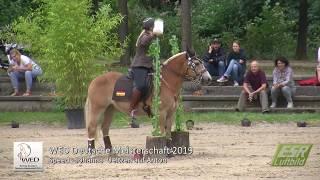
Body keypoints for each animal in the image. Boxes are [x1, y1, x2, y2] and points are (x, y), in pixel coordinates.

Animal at [84, 48, 212, 150]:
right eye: (196, 63)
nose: (208, 78)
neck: (166, 83)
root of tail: (95, 80)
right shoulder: (162, 113)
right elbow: (162, 131)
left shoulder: (171, 113)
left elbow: (168, 133)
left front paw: (170, 151)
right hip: (97, 108)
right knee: (91, 128)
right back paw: (92, 152)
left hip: (110, 109)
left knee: (104, 128)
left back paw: (110, 151)